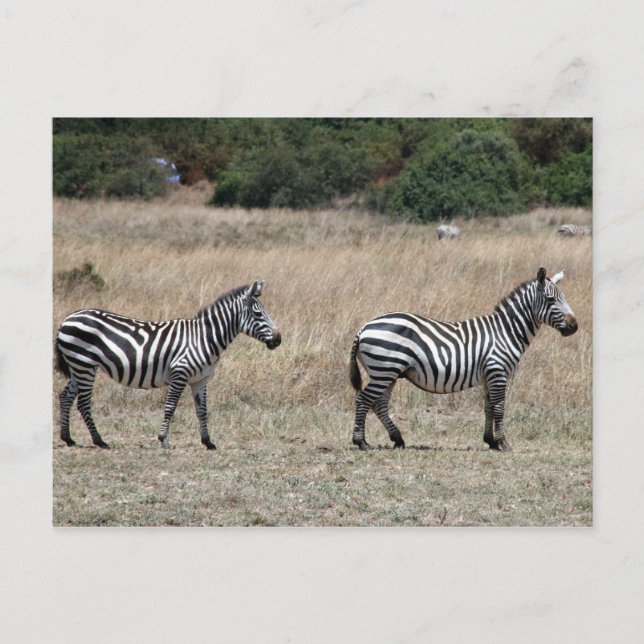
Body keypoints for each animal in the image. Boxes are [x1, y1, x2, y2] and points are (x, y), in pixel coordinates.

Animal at [55, 281, 281, 450]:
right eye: (258, 314)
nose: (278, 339)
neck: (204, 338)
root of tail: (68, 318)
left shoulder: (200, 380)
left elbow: (202, 410)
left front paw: (208, 442)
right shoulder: (180, 373)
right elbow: (170, 407)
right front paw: (164, 440)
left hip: (78, 366)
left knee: (65, 397)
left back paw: (68, 438)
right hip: (84, 364)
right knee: (83, 403)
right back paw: (99, 440)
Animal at [349, 267, 578, 452]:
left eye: (564, 298)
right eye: (551, 300)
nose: (574, 326)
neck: (506, 332)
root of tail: (364, 327)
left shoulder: (488, 376)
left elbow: (489, 407)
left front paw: (490, 441)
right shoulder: (498, 372)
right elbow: (499, 408)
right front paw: (503, 443)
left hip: (388, 373)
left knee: (379, 405)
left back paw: (397, 439)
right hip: (384, 371)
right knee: (363, 400)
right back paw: (361, 442)